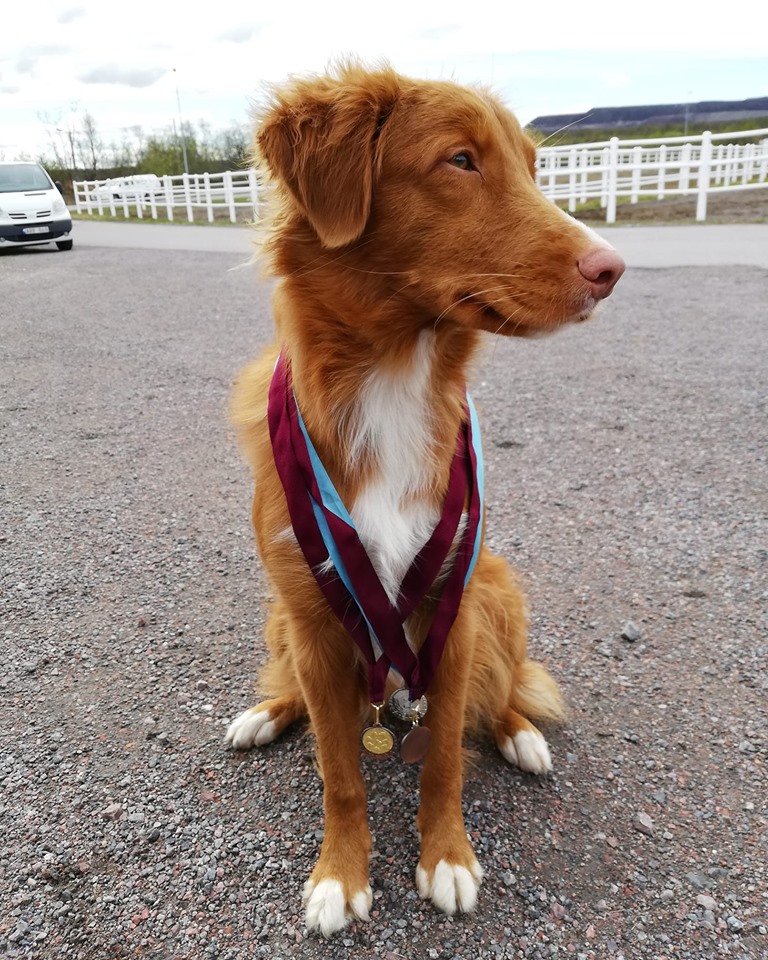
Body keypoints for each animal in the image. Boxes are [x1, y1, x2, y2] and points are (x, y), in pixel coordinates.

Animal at [226, 58, 624, 928]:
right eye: (461, 161)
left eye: (534, 168)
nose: (611, 269)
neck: (393, 375)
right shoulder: (310, 614)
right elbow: (338, 769)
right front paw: (340, 873)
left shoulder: (456, 603)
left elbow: (442, 754)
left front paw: (447, 856)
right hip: (283, 616)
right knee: (301, 696)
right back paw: (265, 713)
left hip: (500, 593)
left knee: (500, 691)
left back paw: (518, 733)